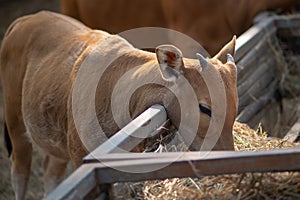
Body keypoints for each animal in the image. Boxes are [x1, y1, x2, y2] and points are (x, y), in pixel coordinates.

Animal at [1, 11, 238, 200]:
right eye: (205, 108)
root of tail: (24, 20)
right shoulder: (79, 157)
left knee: (51, 172)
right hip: (16, 125)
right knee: (20, 171)